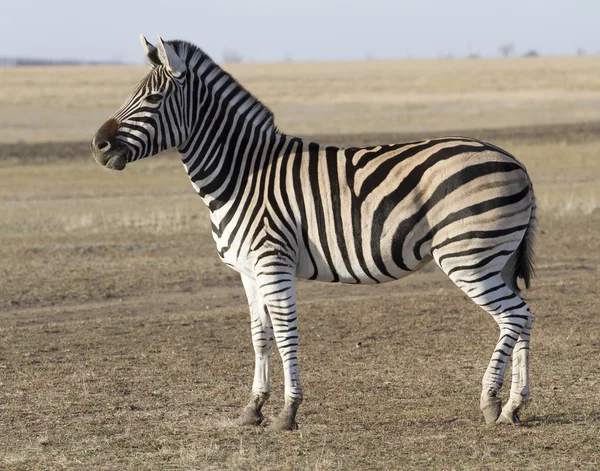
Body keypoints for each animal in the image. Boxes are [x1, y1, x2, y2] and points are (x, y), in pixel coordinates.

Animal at [91, 35, 536, 430]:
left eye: (152, 99)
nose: (97, 145)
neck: (241, 175)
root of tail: (514, 160)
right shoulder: (249, 271)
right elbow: (259, 336)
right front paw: (252, 408)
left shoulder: (273, 264)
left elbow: (286, 335)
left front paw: (287, 413)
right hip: (495, 259)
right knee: (524, 316)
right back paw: (514, 407)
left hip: (467, 256)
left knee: (512, 316)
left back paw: (490, 402)